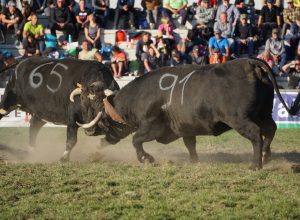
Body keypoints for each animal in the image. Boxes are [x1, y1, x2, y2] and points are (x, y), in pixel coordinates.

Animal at [77, 57, 300, 169]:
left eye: (102, 120)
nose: (89, 133)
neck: (140, 96)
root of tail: (249, 63)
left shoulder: (153, 127)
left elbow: (136, 140)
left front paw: (146, 158)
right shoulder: (185, 128)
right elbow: (190, 144)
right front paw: (194, 160)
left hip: (240, 119)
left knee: (256, 134)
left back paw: (256, 164)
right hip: (263, 114)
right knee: (270, 129)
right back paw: (266, 156)